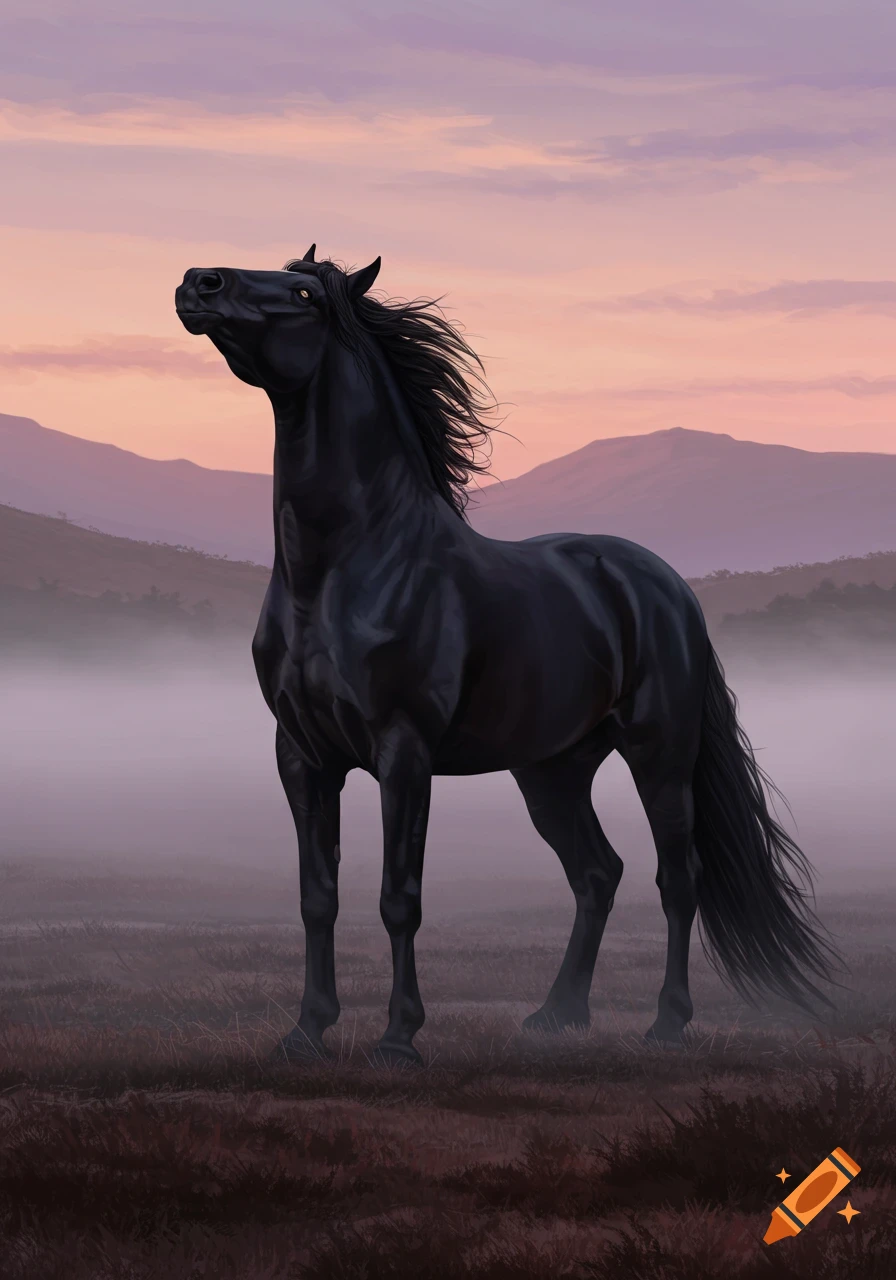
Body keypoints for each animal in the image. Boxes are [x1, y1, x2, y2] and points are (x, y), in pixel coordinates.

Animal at [175, 246, 843, 1067]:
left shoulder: (403, 753)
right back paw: (558, 1015)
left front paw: (398, 1040)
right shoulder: (302, 756)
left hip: (659, 755)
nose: (198, 283)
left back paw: (665, 1024)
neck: (343, 571)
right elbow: (316, 897)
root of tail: (662, 584)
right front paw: (306, 1032)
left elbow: (400, 897)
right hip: (551, 770)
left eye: (303, 294)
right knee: (597, 872)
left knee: (675, 877)